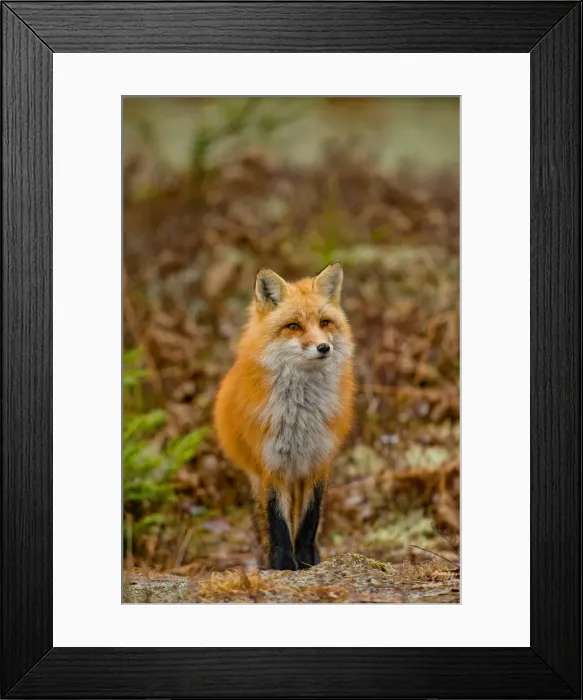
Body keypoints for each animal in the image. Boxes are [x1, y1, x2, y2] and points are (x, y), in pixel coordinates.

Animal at [213, 261, 355, 571]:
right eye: (293, 326)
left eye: (324, 323)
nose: (324, 347)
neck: (300, 415)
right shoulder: (271, 464)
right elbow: (277, 524)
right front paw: (284, 566)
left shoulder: (318, 462)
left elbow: (309, 521)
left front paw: (307, 562)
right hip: (257, 475)